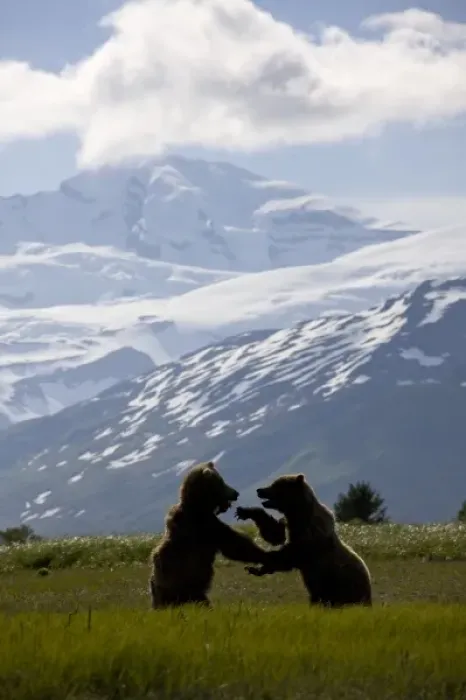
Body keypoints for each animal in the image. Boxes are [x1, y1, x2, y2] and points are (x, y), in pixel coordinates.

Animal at [149, 460, 268, 608]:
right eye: (222, 482)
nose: (236, 493)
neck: (199, 506)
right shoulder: (206, 527)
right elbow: (233, 544)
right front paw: (265, 555)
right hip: (182, 588)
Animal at [235, 474, 372, 608]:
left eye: (275, 485)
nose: (259, 490)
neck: (299, 513)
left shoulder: (311, 534)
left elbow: (291, 554)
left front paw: (258, 564)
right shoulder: (291, 526)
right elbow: (276, 535)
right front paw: (246, 511)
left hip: (340, 586)